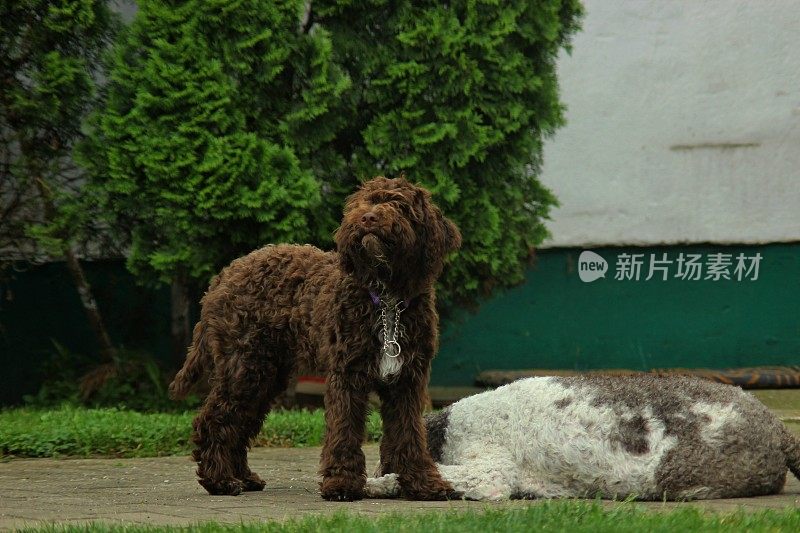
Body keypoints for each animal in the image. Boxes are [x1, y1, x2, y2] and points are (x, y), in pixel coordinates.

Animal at [169, 177, 462, 500]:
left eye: (399, 204)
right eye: (365, 202)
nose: (368, 218)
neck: (386, 300)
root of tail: (223, 276)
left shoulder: (407, 382)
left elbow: (410, 434)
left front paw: (423, 483)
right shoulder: (347, 376)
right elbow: (344, 430)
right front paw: (342, 483)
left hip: (266, 373)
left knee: (240, 424)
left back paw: (243, 477)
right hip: (244, 368)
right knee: (215, 420)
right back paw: (219, 481)